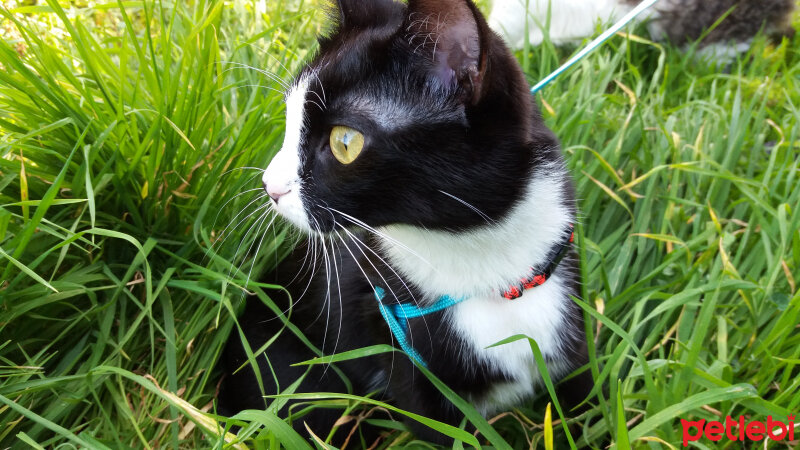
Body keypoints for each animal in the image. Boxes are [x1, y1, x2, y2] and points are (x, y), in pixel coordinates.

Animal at [216, 0, 592, 442]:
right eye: (290, 119)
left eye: (345, 142)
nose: (269, 186)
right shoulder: (396, 340)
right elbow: (444, 431)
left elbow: (587, 405)